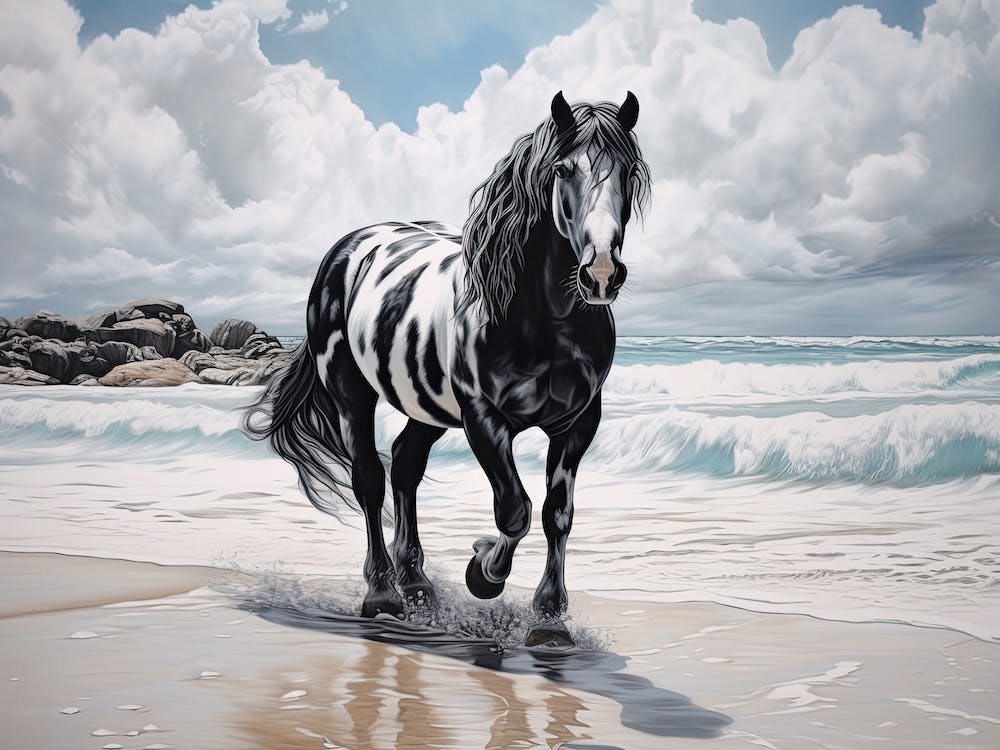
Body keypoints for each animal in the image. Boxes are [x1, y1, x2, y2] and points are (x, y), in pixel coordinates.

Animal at [244, 91, 651, 639]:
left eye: (628, 172)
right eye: (563, 169)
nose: (602, 273)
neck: (545, 321)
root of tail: (347, 248)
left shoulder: (579, 423)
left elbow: (556, 514)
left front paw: (549, 618)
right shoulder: (483, 417)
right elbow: (515, 511)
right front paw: (483, 572)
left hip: (428, 407)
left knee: (405, 465)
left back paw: (416, 584)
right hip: (352, 393)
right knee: (369, 478)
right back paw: (382, 594)